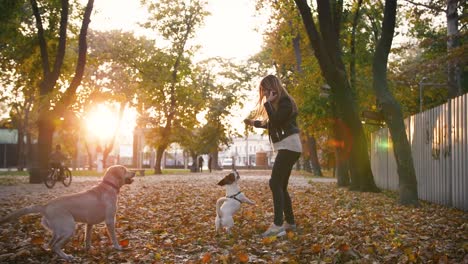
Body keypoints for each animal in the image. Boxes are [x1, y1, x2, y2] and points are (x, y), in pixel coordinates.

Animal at [0, 165, 136, 260]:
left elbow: (87, 238)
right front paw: (118, 247)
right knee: (55, 246)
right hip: (69, 229)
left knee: (50, 244)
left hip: (58, 231)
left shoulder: (89, 224)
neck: (109, 186)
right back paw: (66, 257)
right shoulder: (110, 220)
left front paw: (88, 249)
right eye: (125, 169)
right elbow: (113, 237)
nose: (135, 172)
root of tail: (45, 206)